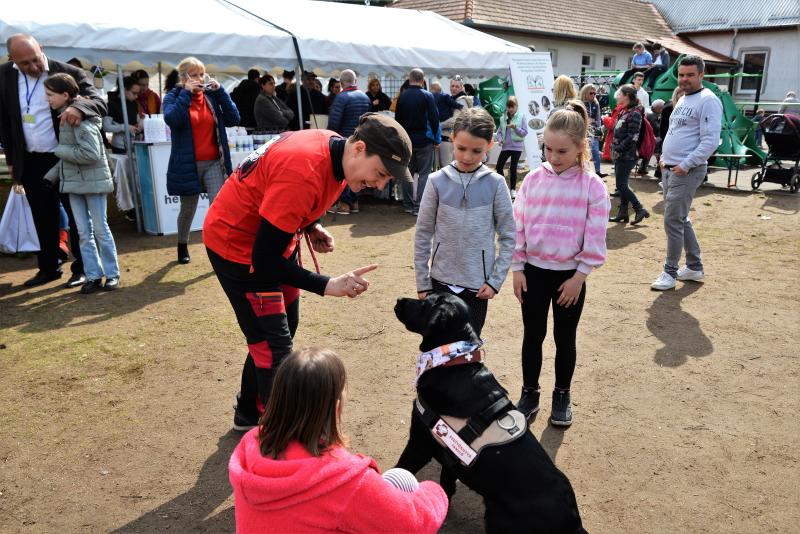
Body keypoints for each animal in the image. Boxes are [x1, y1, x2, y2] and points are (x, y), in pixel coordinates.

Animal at [396, 296, 588, 532]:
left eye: (424, 303)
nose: (398, 300)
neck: (452, 362)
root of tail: (574, 523)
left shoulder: (419, 444)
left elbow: (399, 469)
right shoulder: (450, 456)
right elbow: (445, 488)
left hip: (497, 519)